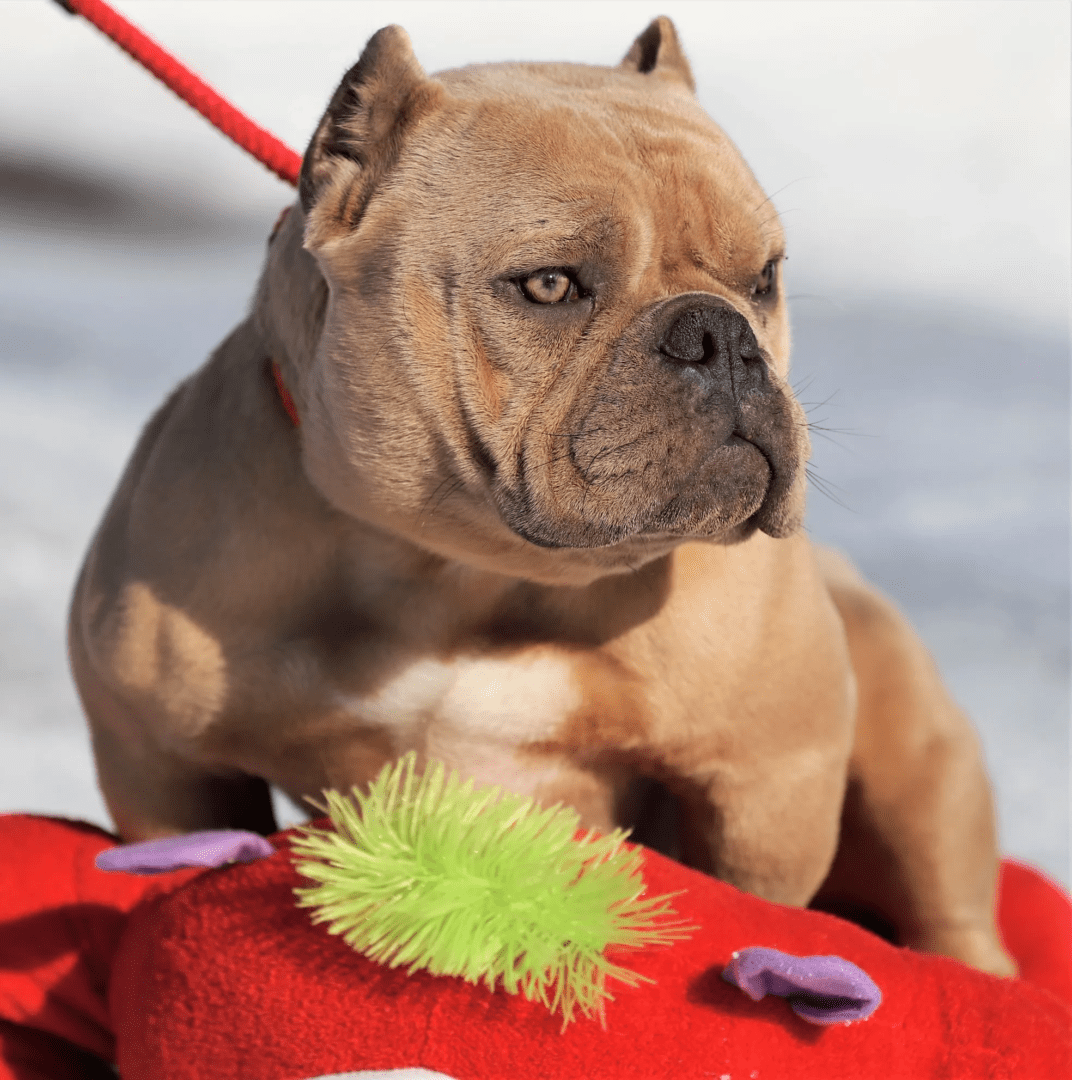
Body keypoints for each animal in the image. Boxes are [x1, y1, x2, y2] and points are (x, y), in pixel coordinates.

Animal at [66, 19, 1010, 980]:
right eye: (551, 285)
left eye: (764, 279)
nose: (723, 336)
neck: (466, 573)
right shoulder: (159, 761)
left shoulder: (764, 785)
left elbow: (752, 902)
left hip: (914, 754)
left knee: (950, 905)